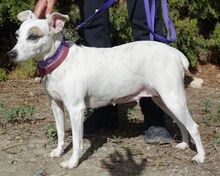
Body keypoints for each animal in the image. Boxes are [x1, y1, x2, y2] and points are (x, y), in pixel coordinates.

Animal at [7, 10, 206, 169]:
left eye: (33, 37)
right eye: (17, 35)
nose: (10, 54)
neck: (58, 61)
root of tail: (175, 53)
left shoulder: (75, 109)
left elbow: (77, 142)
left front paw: (72, 162)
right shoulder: (56, 105)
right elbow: (61, 132)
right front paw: (58, 150)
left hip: (173, 99)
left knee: (194, 126)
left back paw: (200, 156)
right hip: (164, 100)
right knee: (182, 123)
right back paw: (184, 145)